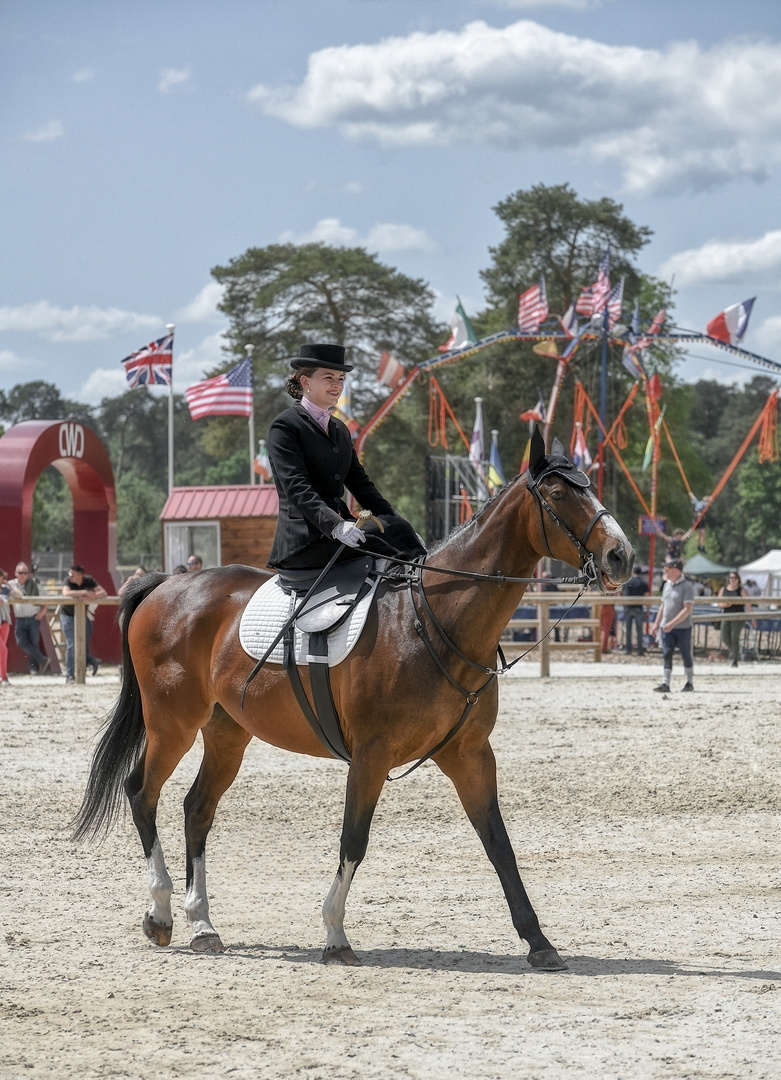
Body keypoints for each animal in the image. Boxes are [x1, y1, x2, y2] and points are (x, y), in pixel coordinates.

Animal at [73, 429, 635, 972]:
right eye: (559, 494)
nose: (621, 556)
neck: (431, 620)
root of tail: (164, 585)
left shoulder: (470, 753)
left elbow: (498, 842)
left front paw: (539, 942)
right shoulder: (371, 756)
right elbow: (354, 840)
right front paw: (335, 937)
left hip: (227, 733)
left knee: (197, 808)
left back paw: (203, 925)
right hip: (173, 725)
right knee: (142, 793)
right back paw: (161, 914)